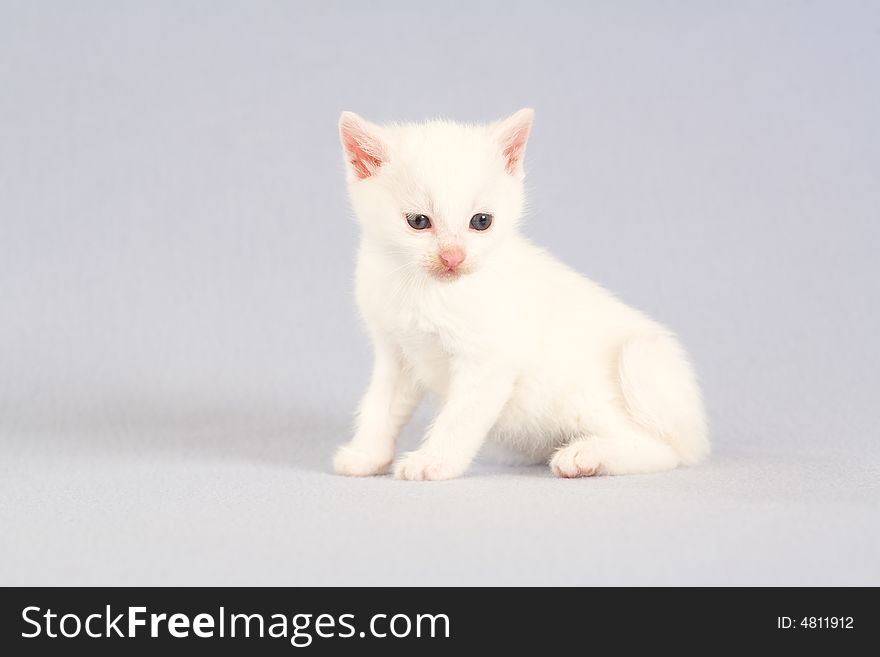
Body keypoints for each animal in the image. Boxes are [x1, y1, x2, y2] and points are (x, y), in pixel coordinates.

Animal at [330, 106, 708, 476]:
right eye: (418, 221)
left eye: (482, 221)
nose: (453, 256)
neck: (424, 290)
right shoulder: (396, 354)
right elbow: (381, 407)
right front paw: (367, 455)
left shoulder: (488, 363)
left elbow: (459, 419)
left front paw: (434, 461)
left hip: (608, 376)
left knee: (661, 449)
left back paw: (586, 456)